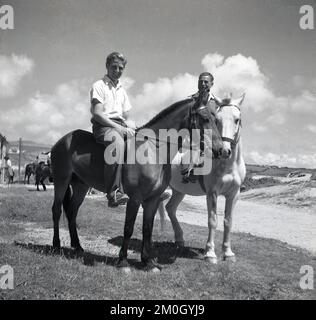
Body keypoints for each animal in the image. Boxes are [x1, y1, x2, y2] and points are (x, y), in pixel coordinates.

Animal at [50, 97, 223, 270]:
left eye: (216, 119)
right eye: (205, 118)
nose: (221, 150)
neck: (153, 150)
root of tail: (63, 140)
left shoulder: (153, 199)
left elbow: (147, 229)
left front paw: (148, 262)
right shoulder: (135, 198)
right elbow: (129, 228)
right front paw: (123, 261)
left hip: (81, 185)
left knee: (72, 211)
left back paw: (77, 246)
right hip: (61, 181)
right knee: (56, 210)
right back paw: (56, 246)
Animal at [159, 94, 246, 264]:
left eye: (237, 119)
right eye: (217, 120)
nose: (224, 151)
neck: (228, 166)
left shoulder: (234, 194)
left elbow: (228, 221)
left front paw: (228, 252)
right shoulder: (212, 193)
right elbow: (213, 221)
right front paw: (210, 253)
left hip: (179, 191)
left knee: (170, 208)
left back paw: (179, 239)